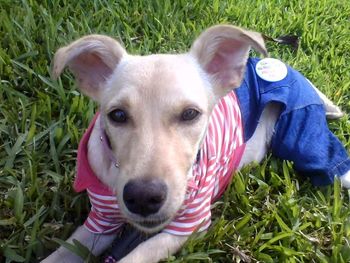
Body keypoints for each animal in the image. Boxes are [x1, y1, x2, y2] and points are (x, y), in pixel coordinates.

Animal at [41, 24, 350, 262]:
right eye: (117, 115)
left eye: (190, 114)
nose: (143, 198)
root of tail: (287, 69)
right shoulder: (99, 223)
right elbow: (60, 254)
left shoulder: (190, 224)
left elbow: (137, 256)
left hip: (304, 136)